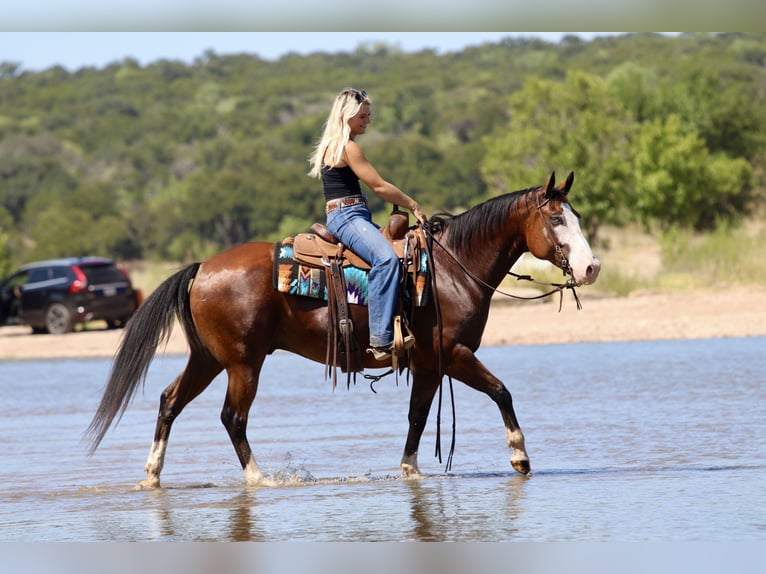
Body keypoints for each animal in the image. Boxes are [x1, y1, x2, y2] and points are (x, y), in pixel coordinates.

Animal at [86, 171, 600, 488]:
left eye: (575, 216)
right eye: (557, 218)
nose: (591, 267)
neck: (452, 268)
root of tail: (202, 267)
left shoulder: (429, 365)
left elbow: (417, 418)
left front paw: (409, 471)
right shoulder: (453, 354)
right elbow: (501, 392)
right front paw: (519, 456)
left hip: (209, 359)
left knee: (169, 401)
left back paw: (152, 474)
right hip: (242, 363)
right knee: (232, 418)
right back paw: (257, 478)